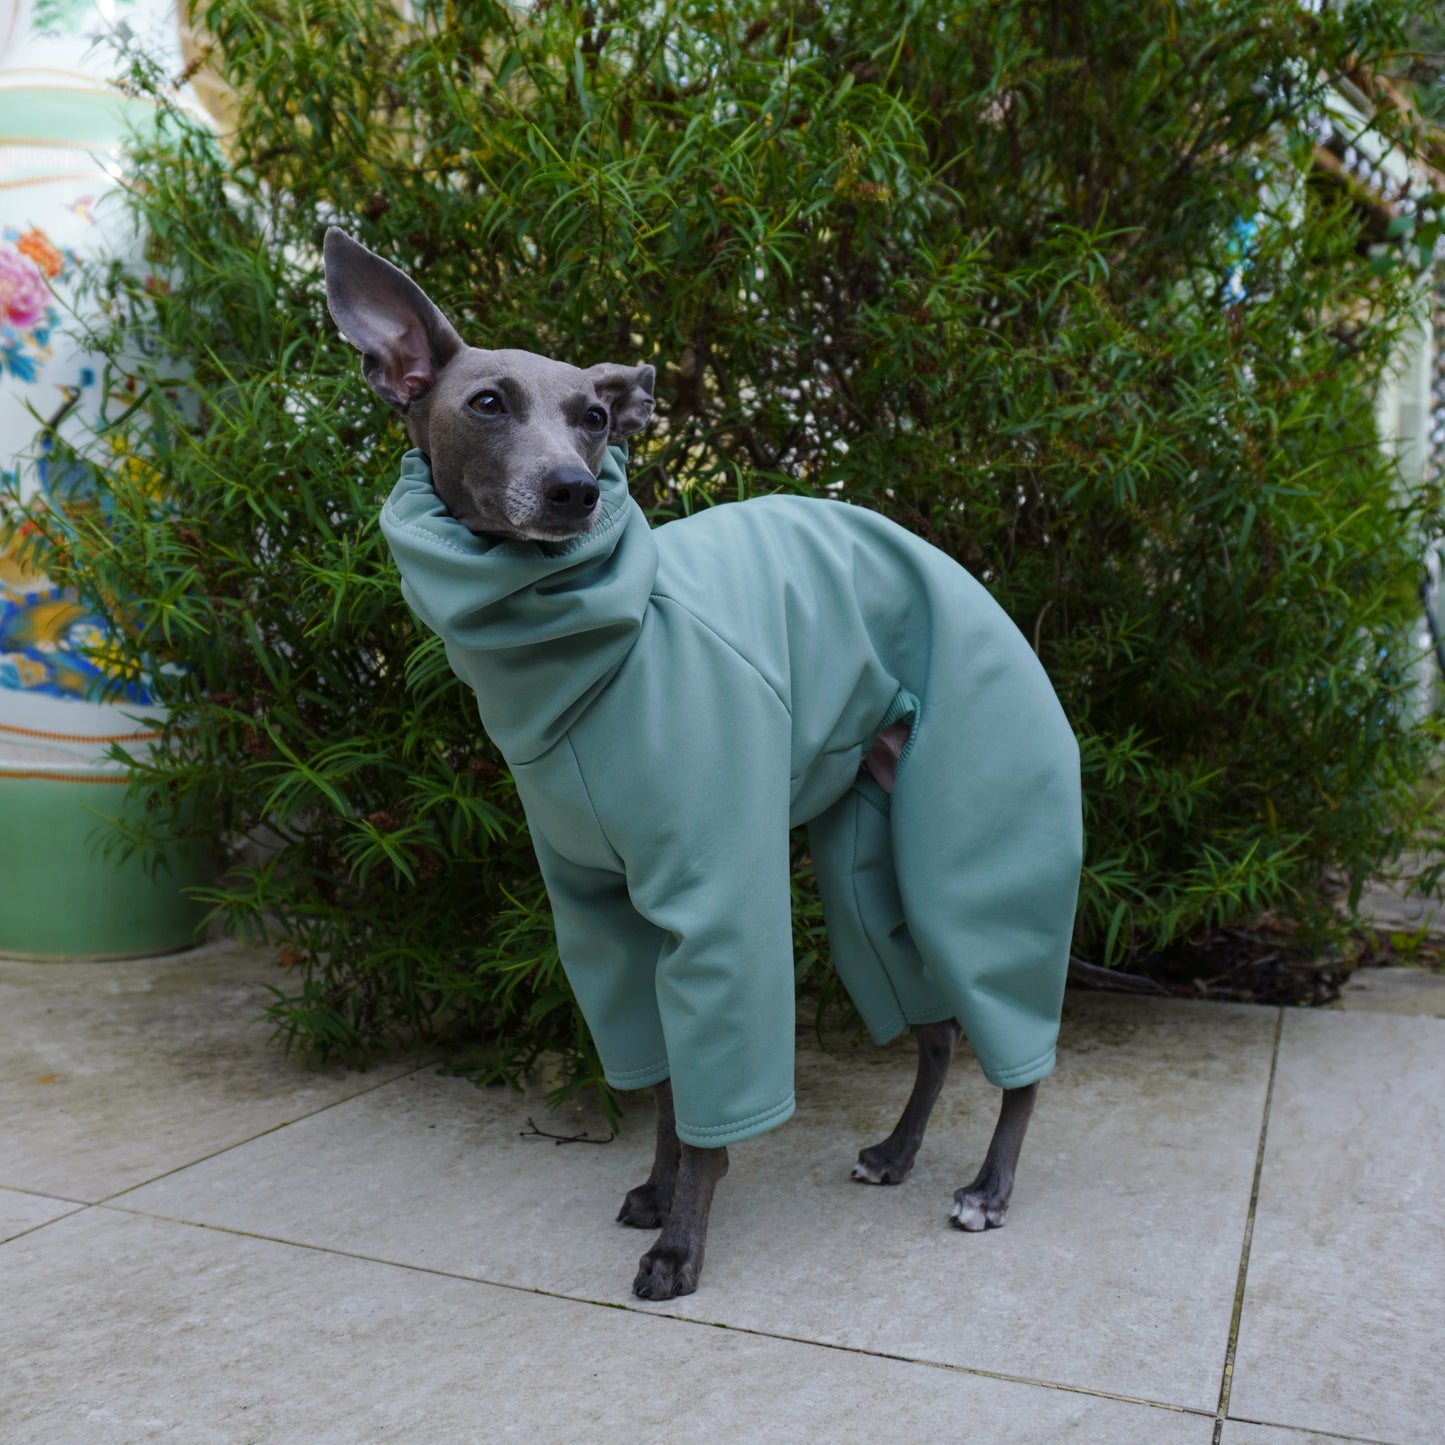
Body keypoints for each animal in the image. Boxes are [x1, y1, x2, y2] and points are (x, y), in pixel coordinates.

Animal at [319, 228, 1063, 1300]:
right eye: (487, 402)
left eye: (592, 417)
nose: (574, 491)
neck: (580, 651)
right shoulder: (600, 913)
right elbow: (666, 1083)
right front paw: (656, 1191)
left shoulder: (717, 900)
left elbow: (712, 1106)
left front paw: (680, 1244)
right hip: (867, 872)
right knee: (934, 1028)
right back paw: (895, 1151)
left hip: (964, 850)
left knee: (1015, 1030)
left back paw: (988, 1188)